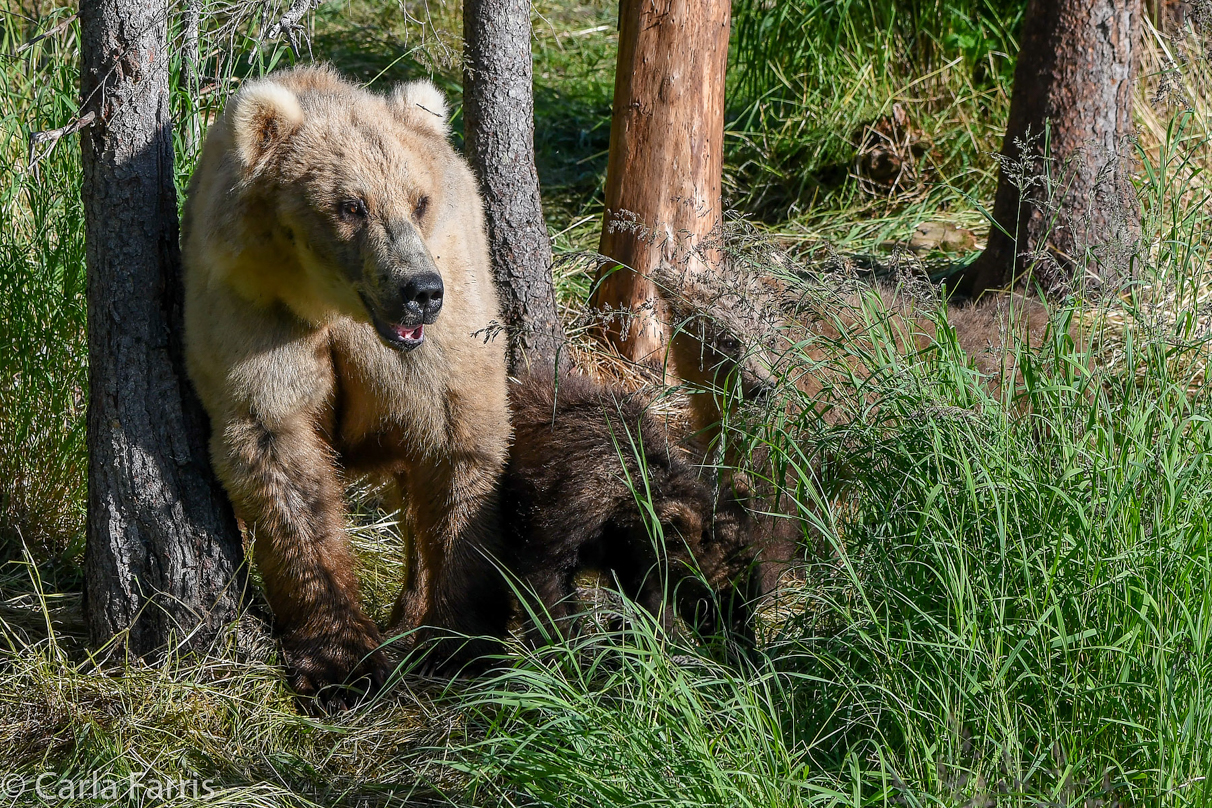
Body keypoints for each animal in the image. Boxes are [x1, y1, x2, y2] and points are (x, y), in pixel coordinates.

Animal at [180, 64, 511, 707]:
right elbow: (280, 458)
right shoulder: (253, 318)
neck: (327, 304)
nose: (420, 290)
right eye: (351, 204)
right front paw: (339, 663)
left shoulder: (434, 345)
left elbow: (458, 444)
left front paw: (458, 638)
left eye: (419, 199)